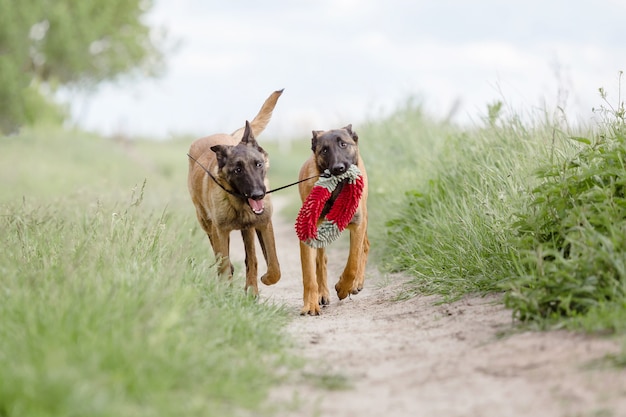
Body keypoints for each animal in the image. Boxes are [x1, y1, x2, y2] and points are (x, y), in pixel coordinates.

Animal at [186, 90, 282, 294]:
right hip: (206, 223)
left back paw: (251, 289)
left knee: (251, 258)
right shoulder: (220, 231)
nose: (258, 194)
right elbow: (223, 262)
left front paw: (261, 282)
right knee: (221, 255)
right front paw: (225, 292)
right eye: (238, 170)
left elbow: (273, 267)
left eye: (258, 164)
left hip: (247, 231)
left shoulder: (263, 224)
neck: (239, 205)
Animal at [296, 125, 368, 314]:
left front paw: (343, 288)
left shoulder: (358, 224)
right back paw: (322, 294)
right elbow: (309, 273)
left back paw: (357, 283)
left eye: (343, 144)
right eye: (324, 150)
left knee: (364, 247)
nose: (338, 168)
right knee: (321, 260)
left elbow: (352, 263)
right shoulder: (307, 234)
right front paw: (310, 304)